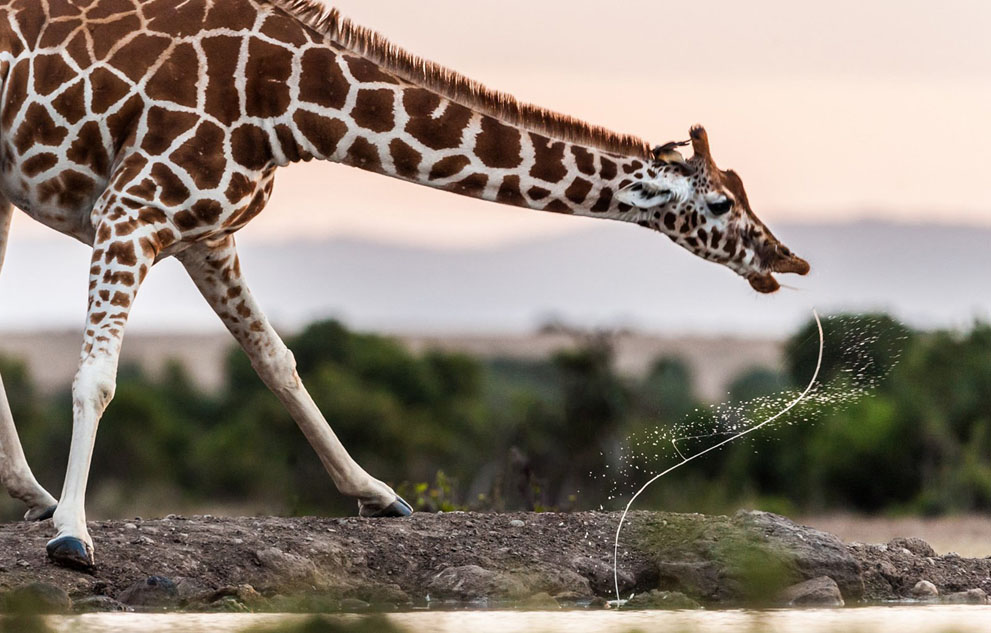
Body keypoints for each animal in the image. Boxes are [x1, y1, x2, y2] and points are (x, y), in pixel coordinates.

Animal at [0, 0, 808, 568]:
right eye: (719, 204)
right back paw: (43, 502)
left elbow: (278, 361)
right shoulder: (129, 210)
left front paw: (376, 493)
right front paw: (73, 535)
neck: (289, 106)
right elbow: (99, 376)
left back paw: (29, 493)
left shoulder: (205, 234)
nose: (787, 261)